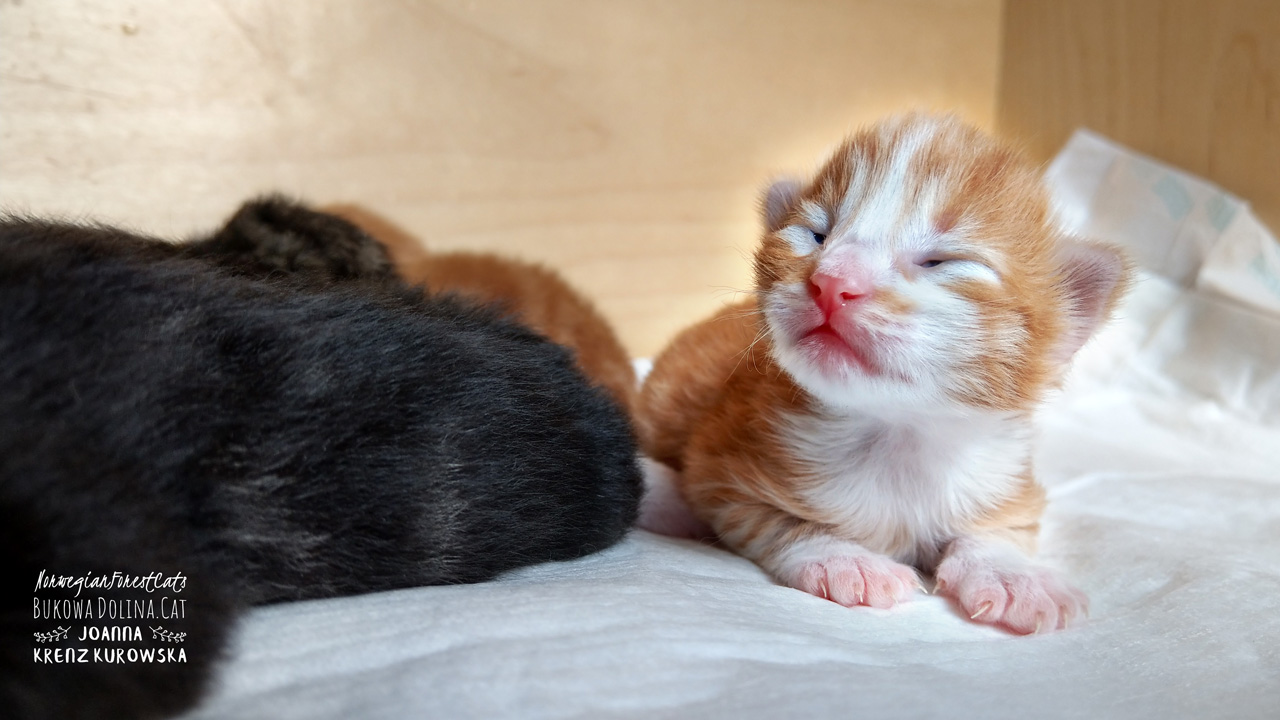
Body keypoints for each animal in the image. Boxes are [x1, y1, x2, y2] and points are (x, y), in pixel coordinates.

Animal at [637, 114, 1129, 634]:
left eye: (942, 261)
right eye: (817, 234)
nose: (832, 281)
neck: (898, 430)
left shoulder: (1004, 478)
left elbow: (1002, 529)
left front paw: (1015, 576)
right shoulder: (721, 467)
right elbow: (777, 520)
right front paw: (845, 560)